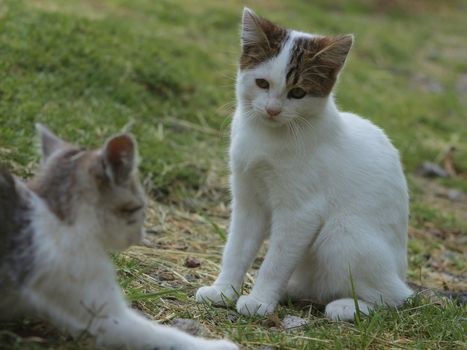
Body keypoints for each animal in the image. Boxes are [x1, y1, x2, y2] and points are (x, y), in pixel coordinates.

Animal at [0, 124, 238, 348]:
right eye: (140, 207)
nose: (140, 236)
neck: (56, 211)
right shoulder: (106, 316)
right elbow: (160, 334)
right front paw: (219, 345)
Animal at [197, 8, 414, 322]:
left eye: (298, 93)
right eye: (262, 83)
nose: (272, 110)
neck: (268, 136)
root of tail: (400, 272)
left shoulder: (301, 212)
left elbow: (275, 262)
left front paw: (259, 301)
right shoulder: (248, 200)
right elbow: (236, 248)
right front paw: (223, 290)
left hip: (342, 235)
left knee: (397, 297)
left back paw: (346, 306)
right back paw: (292, 290)